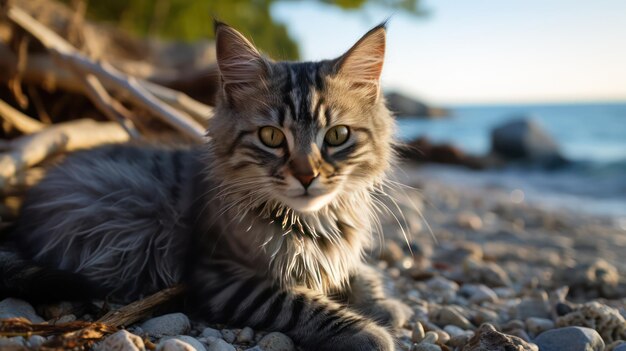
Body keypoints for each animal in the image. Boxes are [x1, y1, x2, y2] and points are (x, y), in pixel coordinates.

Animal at [7, 22, 414, 351]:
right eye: (271, 137)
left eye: (337, 136)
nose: (306, 174)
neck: (310, 222)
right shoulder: (220, 277)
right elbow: (300, 303)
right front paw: (366, 332)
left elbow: (359, 271)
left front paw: (384, 304)